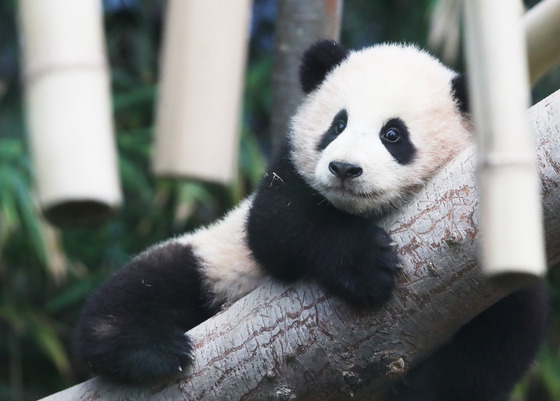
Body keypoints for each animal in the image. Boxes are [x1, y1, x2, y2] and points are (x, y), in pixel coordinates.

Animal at [74, 39, 548, 398]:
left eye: (393, 134)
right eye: (337, 124)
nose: (344, 169)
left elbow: (502, 338)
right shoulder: (285, 172)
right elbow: (276, 226)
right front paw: (364, 264)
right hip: (215, 263)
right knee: (153, 282)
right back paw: (146, 349)